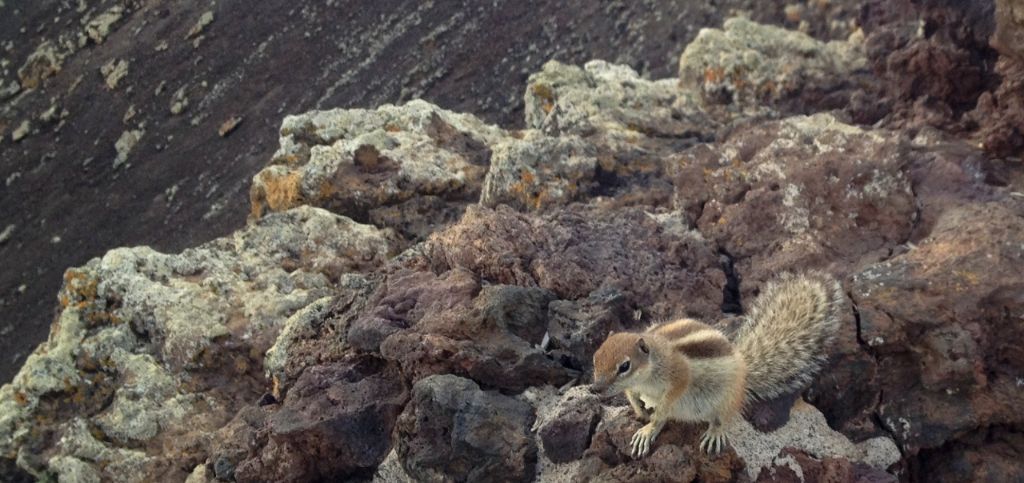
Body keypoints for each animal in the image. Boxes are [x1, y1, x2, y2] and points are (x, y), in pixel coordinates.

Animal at [589, 272, 843, 456]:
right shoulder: (634, 387)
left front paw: (650, 421)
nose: (595, 389)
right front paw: (639, 410)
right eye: (595, 359)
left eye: (624, 366)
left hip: (725, 398)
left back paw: (713, 432)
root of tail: (744, 370)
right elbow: (633, 396)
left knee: (720, 417)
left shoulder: (678, 374)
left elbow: (669, 400)